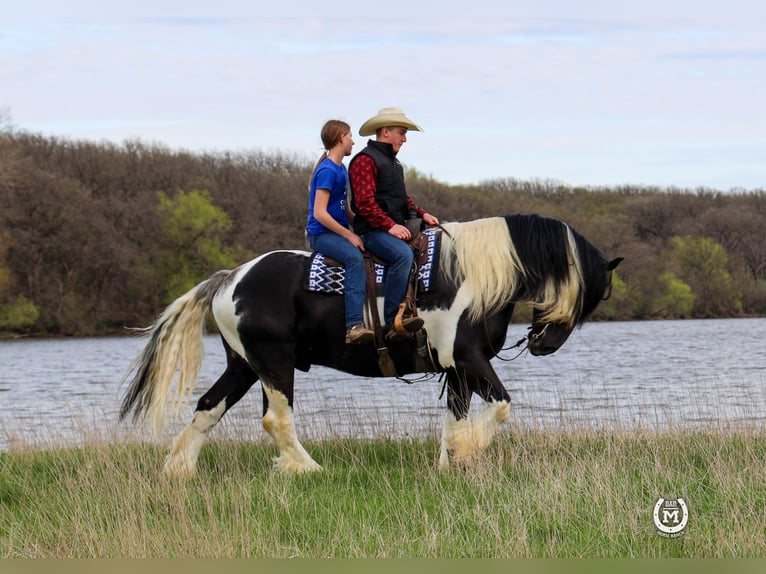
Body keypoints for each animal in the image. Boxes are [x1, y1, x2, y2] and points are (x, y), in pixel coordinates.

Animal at [120, 214, 624, 480]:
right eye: (591, 294)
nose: (545, 345)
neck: (471, 276)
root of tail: (232, 278)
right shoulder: (469, 360)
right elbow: (500, 406)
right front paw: (467, 452)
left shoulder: (456, 370)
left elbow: (454, 419)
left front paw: (451, 463)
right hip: (274, 363)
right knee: (275, 419)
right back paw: (309, 470)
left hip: (245, 365)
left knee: (208, 408)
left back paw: (178, 470)